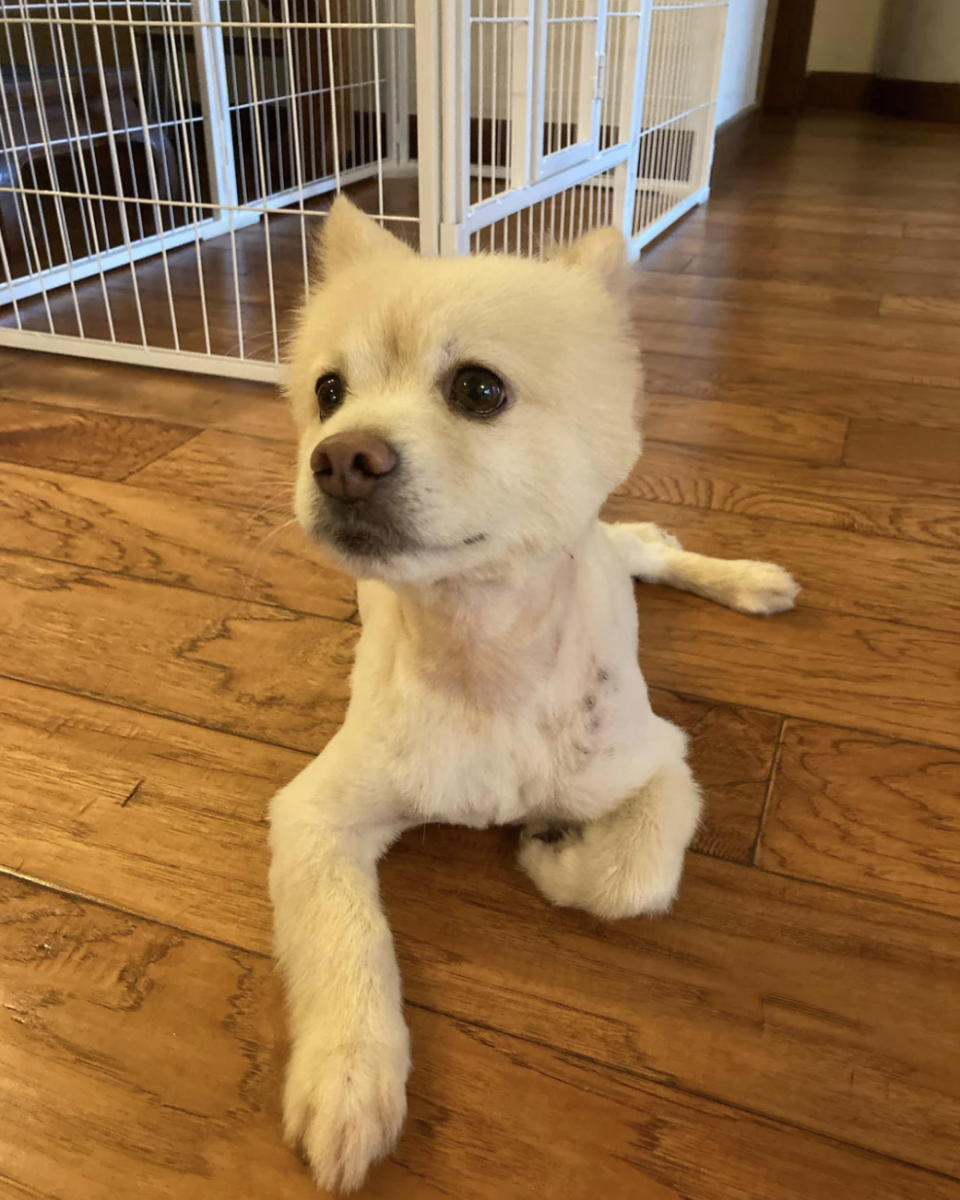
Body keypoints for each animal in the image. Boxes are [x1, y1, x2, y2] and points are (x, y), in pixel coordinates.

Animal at [267, 196, 796, 1190]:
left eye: (479, 390)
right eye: (329, 392)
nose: (341, 457)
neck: (484, 661)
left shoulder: (659, 763)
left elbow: (633, 877)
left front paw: (555, 858)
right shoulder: (314, 816)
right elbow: (344, 937)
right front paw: (351, 1077)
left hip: (624, 556)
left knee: (651, 548)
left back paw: (748, 581)